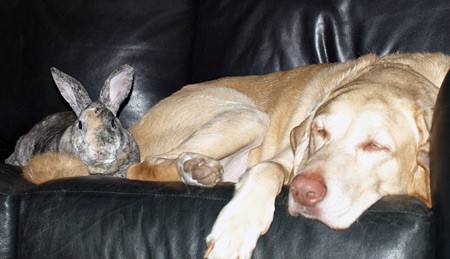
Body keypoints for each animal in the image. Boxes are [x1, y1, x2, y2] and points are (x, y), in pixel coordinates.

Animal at [125, 51, 450, 258]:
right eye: (320, 131)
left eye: (376, 146)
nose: (303, 190)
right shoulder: (291, 158)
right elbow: (266, 169)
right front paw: (234, 231)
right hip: (250, 115)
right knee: (140, 167)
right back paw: (197, 168)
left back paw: (200, 169)